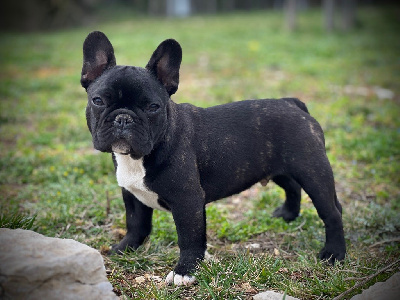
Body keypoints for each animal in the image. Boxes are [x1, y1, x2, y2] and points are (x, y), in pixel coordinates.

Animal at [80, 31, 344, 286]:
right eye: (98, 101)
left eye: (152, 107)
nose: (123, 118)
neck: (139, 158)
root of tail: (293, 103)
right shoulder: (133, 195)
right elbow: (136, 225)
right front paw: (124, 249)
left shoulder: (188, 201)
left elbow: (189, 238)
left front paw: (185, 271)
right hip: (275, 165)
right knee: (291, 186)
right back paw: (288, 214)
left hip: (311, 170)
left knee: (331, 211)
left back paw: (334, 254)